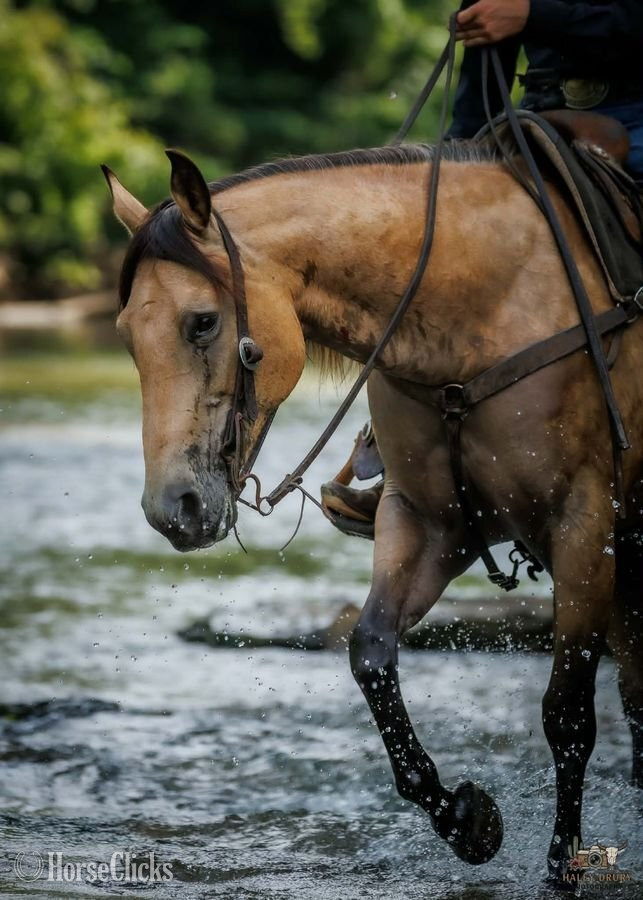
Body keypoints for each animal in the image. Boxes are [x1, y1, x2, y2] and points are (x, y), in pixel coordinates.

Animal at [103, 140, 643, 883]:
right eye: (127, 333)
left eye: (203, 321)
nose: (171, 509)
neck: (482, 310)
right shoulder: (425, 523)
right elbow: (369, 653)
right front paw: (467, 819)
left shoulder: (583, 526)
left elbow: (566, 715)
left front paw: (563, 864)